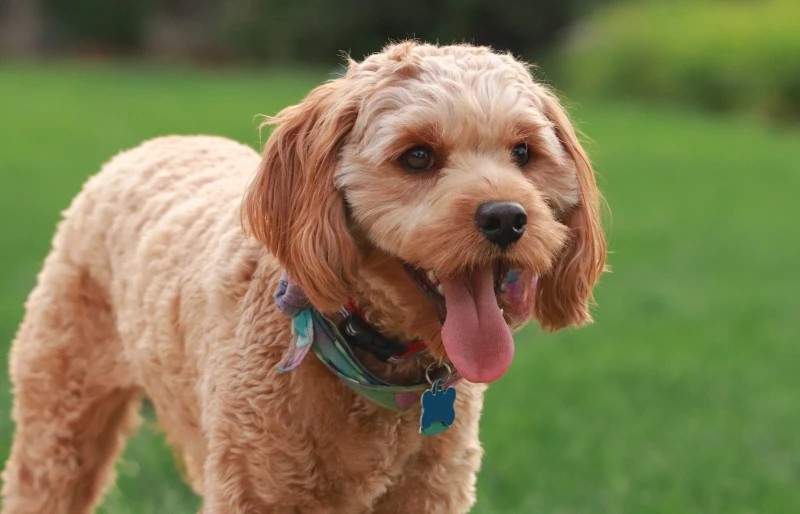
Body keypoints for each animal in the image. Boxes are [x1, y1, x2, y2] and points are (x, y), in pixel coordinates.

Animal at [1, 42, 608, 510]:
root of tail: (152, 144)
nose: (506, 218)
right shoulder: (256, 489)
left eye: (523, 152)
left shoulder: (431, 492)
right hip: (59, 421)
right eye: (417, 156)